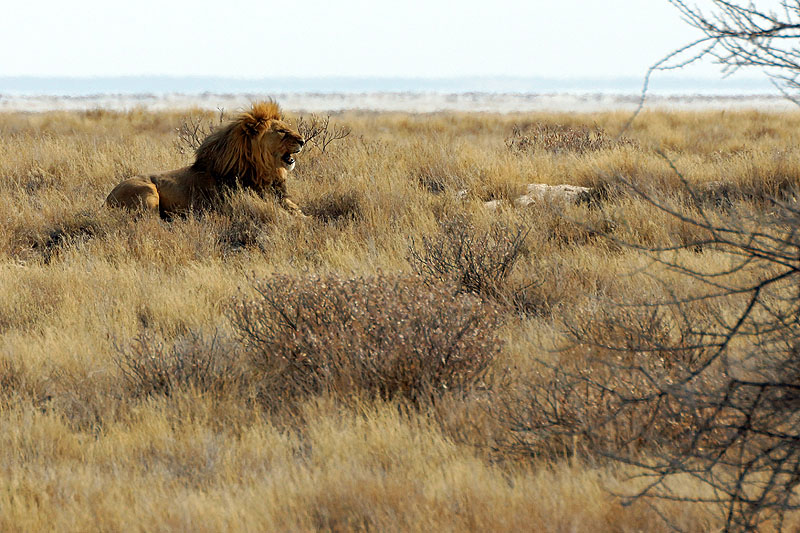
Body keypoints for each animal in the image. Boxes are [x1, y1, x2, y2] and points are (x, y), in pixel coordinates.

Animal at [106, 100, 306, 216]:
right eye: (281, 131)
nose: (303, 141)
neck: (261, 170)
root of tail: (106, 200)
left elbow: (299, 211)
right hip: (148, 193)